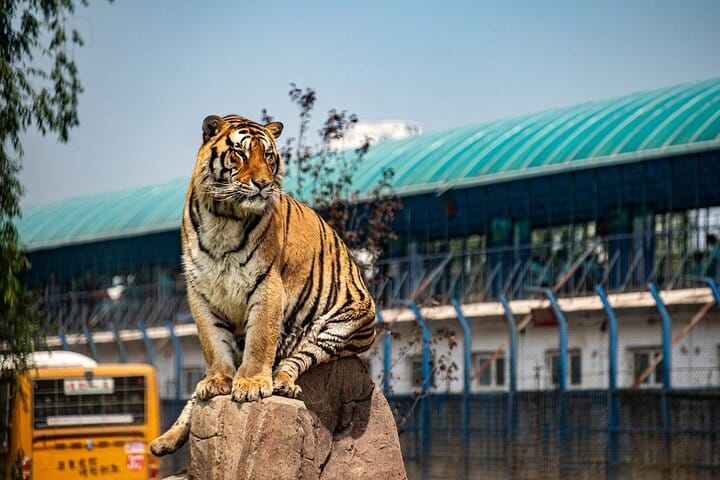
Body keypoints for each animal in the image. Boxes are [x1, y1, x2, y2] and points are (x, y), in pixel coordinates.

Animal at [149, 114, 377, 456]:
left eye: (268, 156)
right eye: (240, 153)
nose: (263, 184)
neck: (223, 217)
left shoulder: (266, 284)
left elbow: (260, 341)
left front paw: (252, 385)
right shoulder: (200, 290)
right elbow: (212, 343)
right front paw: (217, 381)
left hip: (340, 328)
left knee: (297, 359)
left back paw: (283, 383)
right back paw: (165, 439)